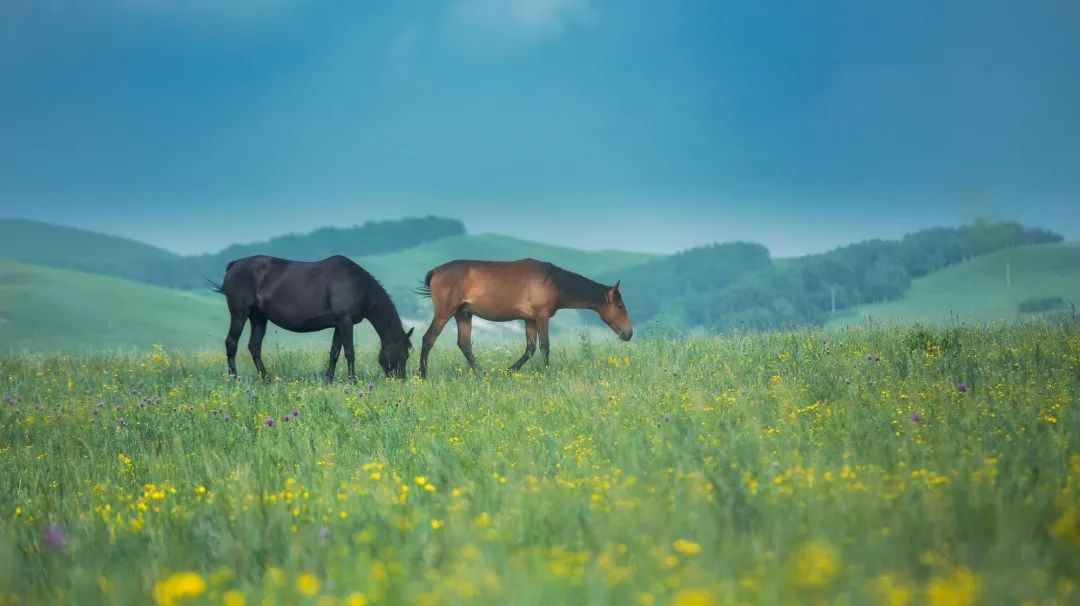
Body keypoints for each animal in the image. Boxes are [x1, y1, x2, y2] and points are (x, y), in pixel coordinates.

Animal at [207, 253, 412, 378]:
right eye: (405, 354)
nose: (400, 380)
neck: (357, 283)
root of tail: (233, 266)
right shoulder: (346, 322)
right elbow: (350, 353)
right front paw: (353, 381)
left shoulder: (339, 325)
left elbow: (334, 353)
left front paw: (329, 380)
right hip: (239, 314)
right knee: (231, 344)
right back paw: (234, 379)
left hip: (258, 317)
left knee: (254, 347)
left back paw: (266, 379)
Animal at [414, 256, 630, 378]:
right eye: (620, 306)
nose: (628, 333)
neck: (552, 281)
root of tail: (436, 271)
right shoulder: (542, 317)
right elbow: (545, 346)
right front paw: (546, 372)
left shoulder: (530, 320)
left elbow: (530, 349)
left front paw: (509, 371)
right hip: (444, 313)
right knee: (428, 339)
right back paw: (423, 375)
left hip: (463, 314)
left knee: (464, 344)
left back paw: (482, 372)